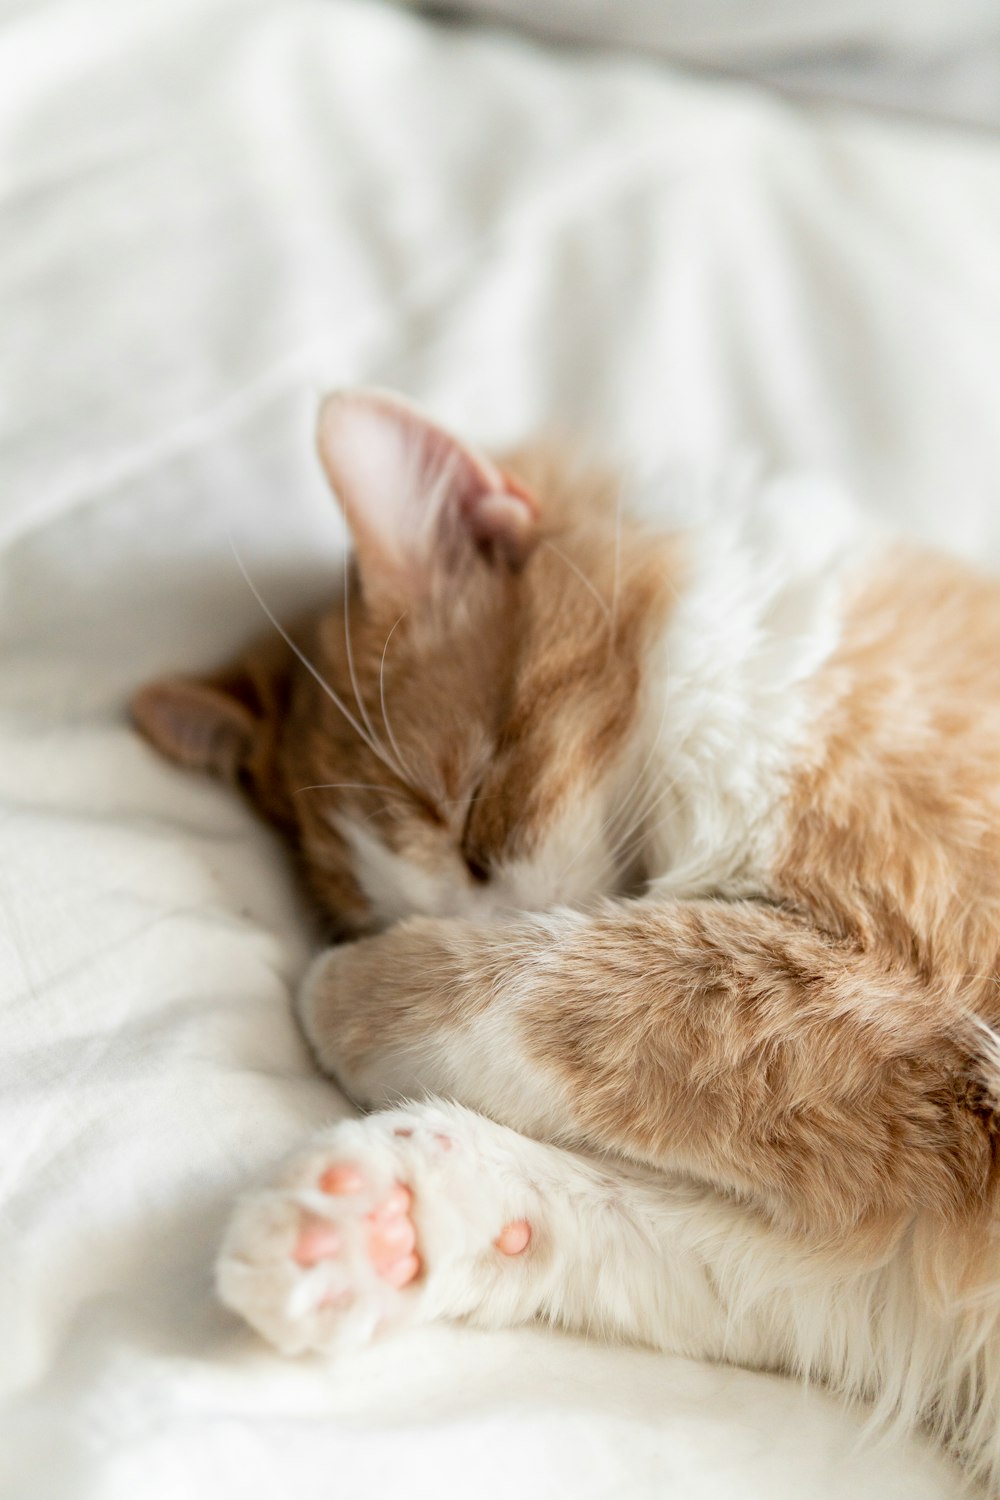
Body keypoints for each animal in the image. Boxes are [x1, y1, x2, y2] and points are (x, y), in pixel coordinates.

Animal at [134, 387, 1000, 1488]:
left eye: (474, 819)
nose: (463, 918)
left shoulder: (906, 998)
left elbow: (552, 982)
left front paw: (348, 1002)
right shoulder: (904, 1236)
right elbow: (621, 1223)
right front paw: (373, 1221)